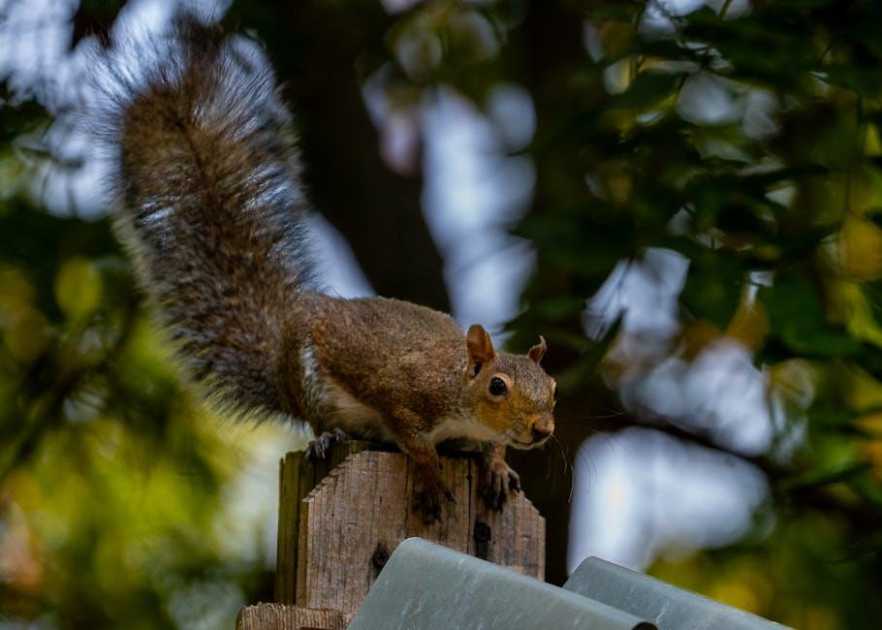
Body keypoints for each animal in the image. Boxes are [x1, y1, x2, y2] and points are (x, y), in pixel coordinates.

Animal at [103, 18, 552, 524]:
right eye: (497, 386)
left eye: (552, 387)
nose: (542, 429)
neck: (459, 392)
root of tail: (281, 363)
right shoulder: (401, 395)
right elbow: (415, 443)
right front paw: (433, 477)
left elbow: (492, 447)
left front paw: (497, 468)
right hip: (311, 381)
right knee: (319, 420)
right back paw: (328, 437)